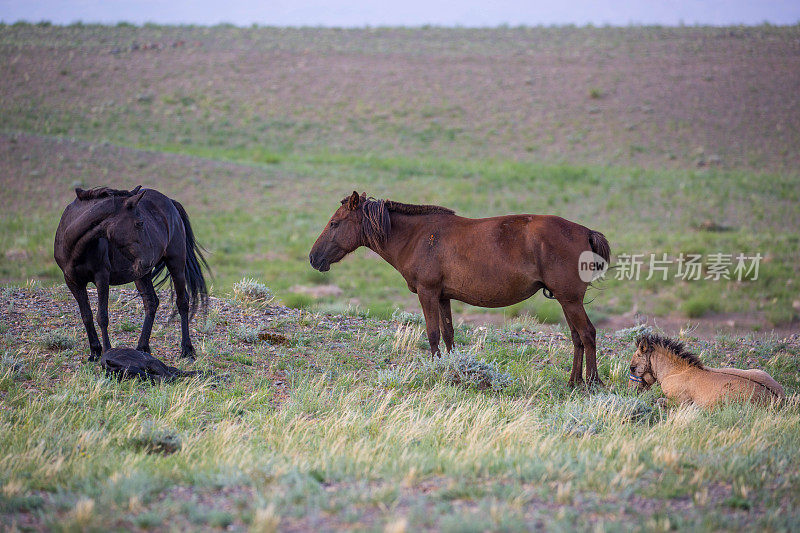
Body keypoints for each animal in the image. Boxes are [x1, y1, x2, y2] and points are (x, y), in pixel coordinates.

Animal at [54, 185, 208, 360]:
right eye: (139, 223)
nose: (150, 259)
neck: (75, 246)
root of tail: (170, 202)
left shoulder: (102, 278)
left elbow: (102, 316)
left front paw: (107, 351)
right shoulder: (73, 282)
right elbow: (86, 316)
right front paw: (95, 352)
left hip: (176, 264)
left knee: (182, 302)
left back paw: (186, 350)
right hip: (142, 275)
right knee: (151, 302)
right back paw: (142, 347)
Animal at [310, 191, 608, 386]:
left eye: (334, 223)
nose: (314, 258)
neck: (416, 237)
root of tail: (585, 232)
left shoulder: (428, 293)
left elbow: (432, 334)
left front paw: (436, 371)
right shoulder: (443, 297)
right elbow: (449, 334)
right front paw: (453, 371)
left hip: (570, 300)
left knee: (587, 334)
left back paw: (592, 383)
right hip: (565, 300)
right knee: (577, 337)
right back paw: (572, 381)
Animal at [628, 332, 784, 408]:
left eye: (632, 368)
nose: (631, 390)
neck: (675, 371)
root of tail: (778, 400)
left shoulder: (680, 402)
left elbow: (659, 401)